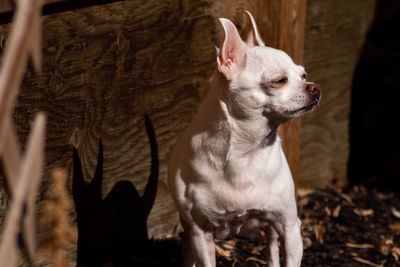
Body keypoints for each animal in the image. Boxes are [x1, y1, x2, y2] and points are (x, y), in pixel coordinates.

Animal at [167, 11, 320, 267]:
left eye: (304, 75)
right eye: (279, 80)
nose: (315, 87)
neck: (246, 153)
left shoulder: (290, 227)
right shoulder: (200, 233)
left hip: (273, 227)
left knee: (271, 247)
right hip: (190, 234)